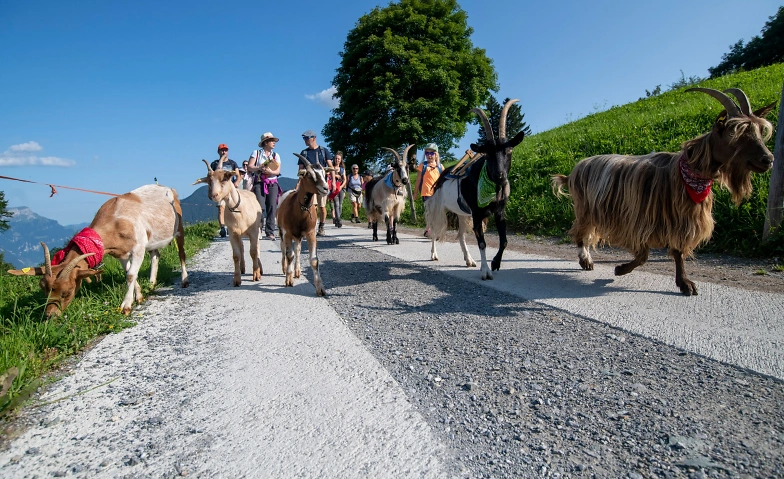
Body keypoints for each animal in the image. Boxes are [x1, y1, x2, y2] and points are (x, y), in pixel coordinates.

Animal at [276, 154, 330, 296]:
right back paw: (285, 268)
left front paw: (320, 288)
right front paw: (289, 280)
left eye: (324, 174)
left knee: (298, 249)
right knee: (284, 249)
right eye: (310, 175)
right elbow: (289, 255)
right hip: (282, 232)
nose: (326, 188)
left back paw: (297, 271)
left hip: (299, 236)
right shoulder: (287, 233)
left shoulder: (310, 233)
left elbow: (314, 260)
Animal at [426, 100, 528, 282]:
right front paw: (485, 271)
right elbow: (482, 242)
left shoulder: (499, 211)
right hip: (438, 208)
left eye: (509, 151)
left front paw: (495, 263)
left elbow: (504, 241)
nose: (500, 175)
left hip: (461, 213)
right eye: (487, 154)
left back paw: (469, 260)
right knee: (434, 231)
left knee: (460, 235)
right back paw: (434, 255)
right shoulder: (477, 213)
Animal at [552, 87, 776, 294]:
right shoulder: (640, 219)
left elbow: (677, 252)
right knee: (581, 233)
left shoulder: (681, 219)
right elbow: (643, 255)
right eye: (735, 134)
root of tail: (574, 171)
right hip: (585, 207)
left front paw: (684, 283)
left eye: (759, 132)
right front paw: (620, 269)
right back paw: (585, 260)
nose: (768, 159)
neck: (686, 173)